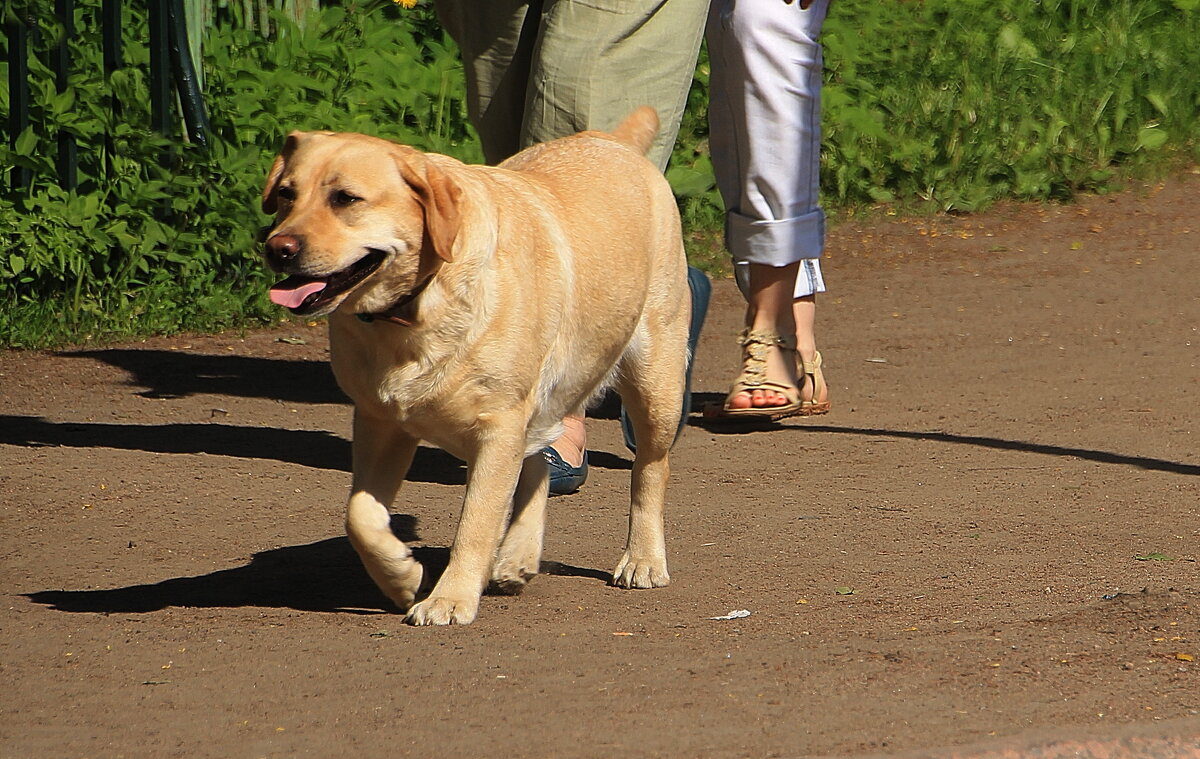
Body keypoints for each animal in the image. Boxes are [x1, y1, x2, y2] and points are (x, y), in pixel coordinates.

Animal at [260, 108, 696, 629]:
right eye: (287, 193)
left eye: (345, 198)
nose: (277, 248)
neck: (417, 310)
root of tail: (612, 140)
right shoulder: (380, 422)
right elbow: (359, 515)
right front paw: (401, 576)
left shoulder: (498, 428)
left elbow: (476, 522)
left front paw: (450, 599)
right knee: (539, 466)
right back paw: (517, 557)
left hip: (654, 381)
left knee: (650, 470)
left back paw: (643, 559)